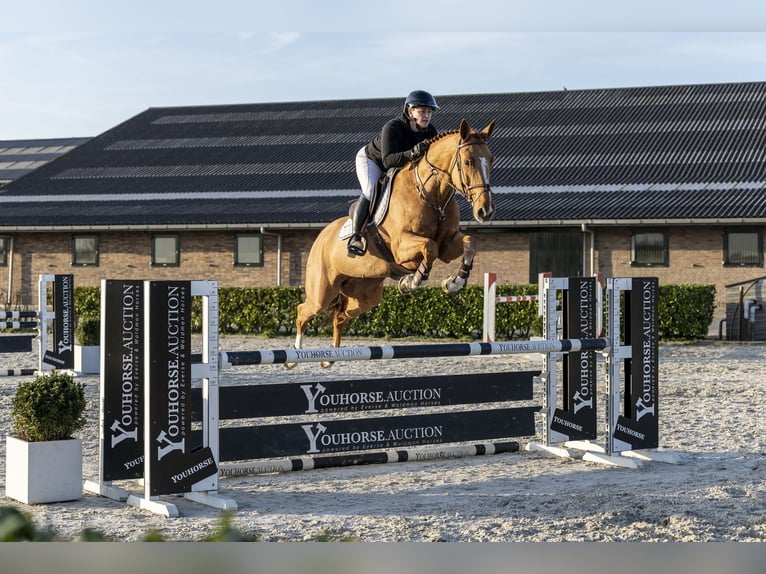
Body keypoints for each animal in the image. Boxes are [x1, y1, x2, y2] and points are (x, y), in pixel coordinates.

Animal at [289, 118, 496, 367]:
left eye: (491, 160)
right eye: (467, 161)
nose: (485, 211)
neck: (431, 195)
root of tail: (321, 237)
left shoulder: (447, 244)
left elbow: (470, 243)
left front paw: (454, 283)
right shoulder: (401, 246)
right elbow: (429, 248)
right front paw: (410, 282)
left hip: (365, 295)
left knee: (339, 316)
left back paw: (329, 359)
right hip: (322, 291)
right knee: (303, 311)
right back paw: (294, 357)